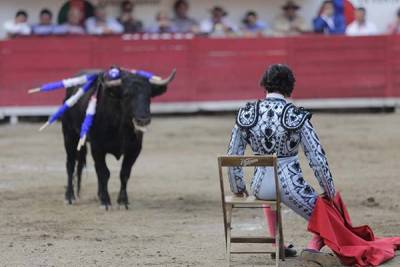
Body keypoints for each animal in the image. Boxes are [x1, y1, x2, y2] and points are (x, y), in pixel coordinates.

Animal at [61, 68, 177, 209]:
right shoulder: (97, 147)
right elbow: (104, 173)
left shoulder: (134, 149)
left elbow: (124, 173)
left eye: (149, 95)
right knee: (70, 164)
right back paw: (69, 197)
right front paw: (106, 202)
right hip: (69, 135)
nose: (143, 120)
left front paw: (122, 201)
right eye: (127, 95)